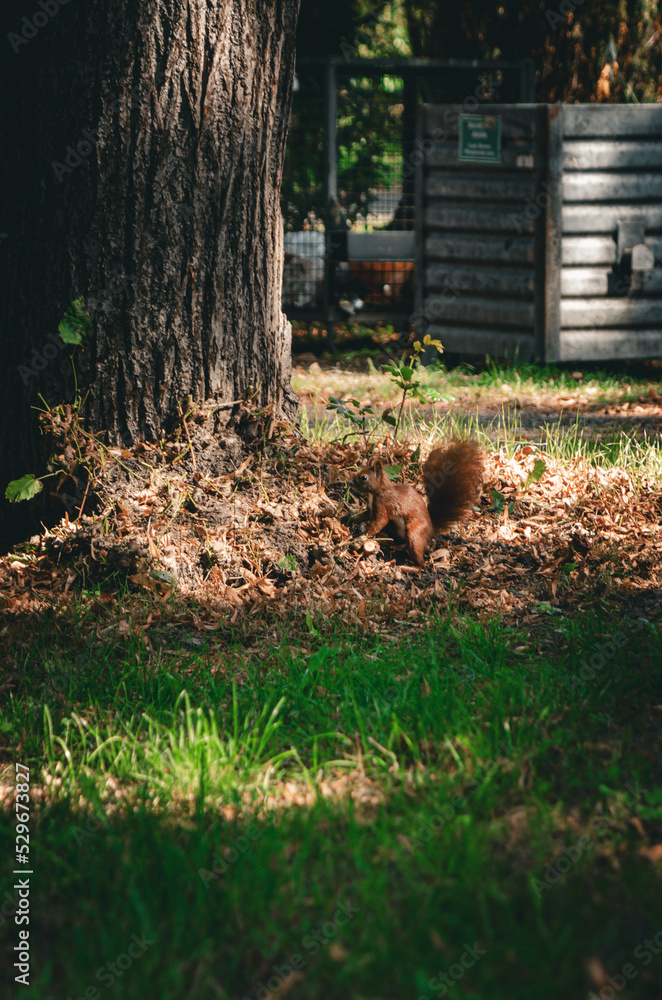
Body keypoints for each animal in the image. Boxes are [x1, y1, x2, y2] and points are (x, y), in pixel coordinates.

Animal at [352, 441, 485, 566]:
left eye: (364, 477)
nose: (351, 480)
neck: (377, 491)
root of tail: (431, 529)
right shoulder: (371, 508)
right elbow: (363, 516)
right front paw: (349, 519)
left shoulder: (383, 504)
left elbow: (378, 522)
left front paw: (361, 535)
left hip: (415, 531)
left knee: (421, 562)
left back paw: (410, 567)